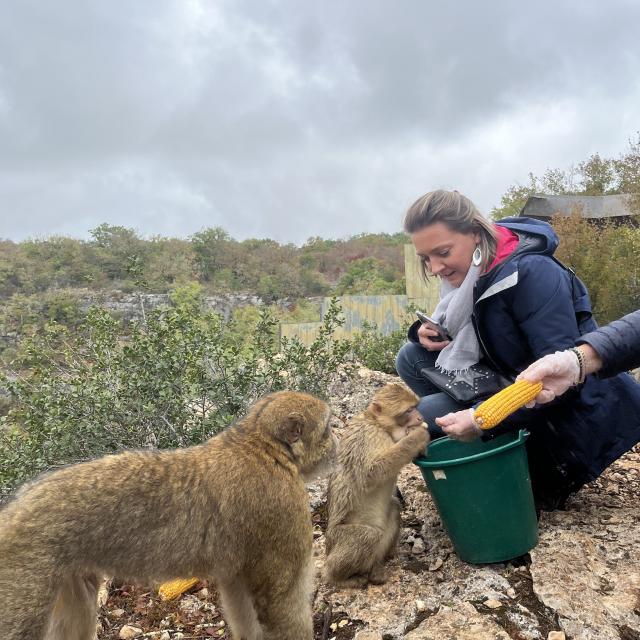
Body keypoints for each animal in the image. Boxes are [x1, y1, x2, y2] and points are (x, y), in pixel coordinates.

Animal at [0, 390, 338, 640]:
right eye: (327, 427)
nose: (336, 441)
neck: (263, 446)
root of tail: (12, 512)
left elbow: (238, 592)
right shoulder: (283, 511)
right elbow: (280, 602)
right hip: (26, 575)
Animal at [324, 382, 430, 588]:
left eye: (416, 407)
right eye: (409, 410)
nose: (420, 417)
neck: (379, 425)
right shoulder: (368, 437)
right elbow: (370, 474)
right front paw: (419, 436)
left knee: (394, 507)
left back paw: (378, 567)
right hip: (337, 538)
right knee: (367, 536)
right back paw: (338, 578)